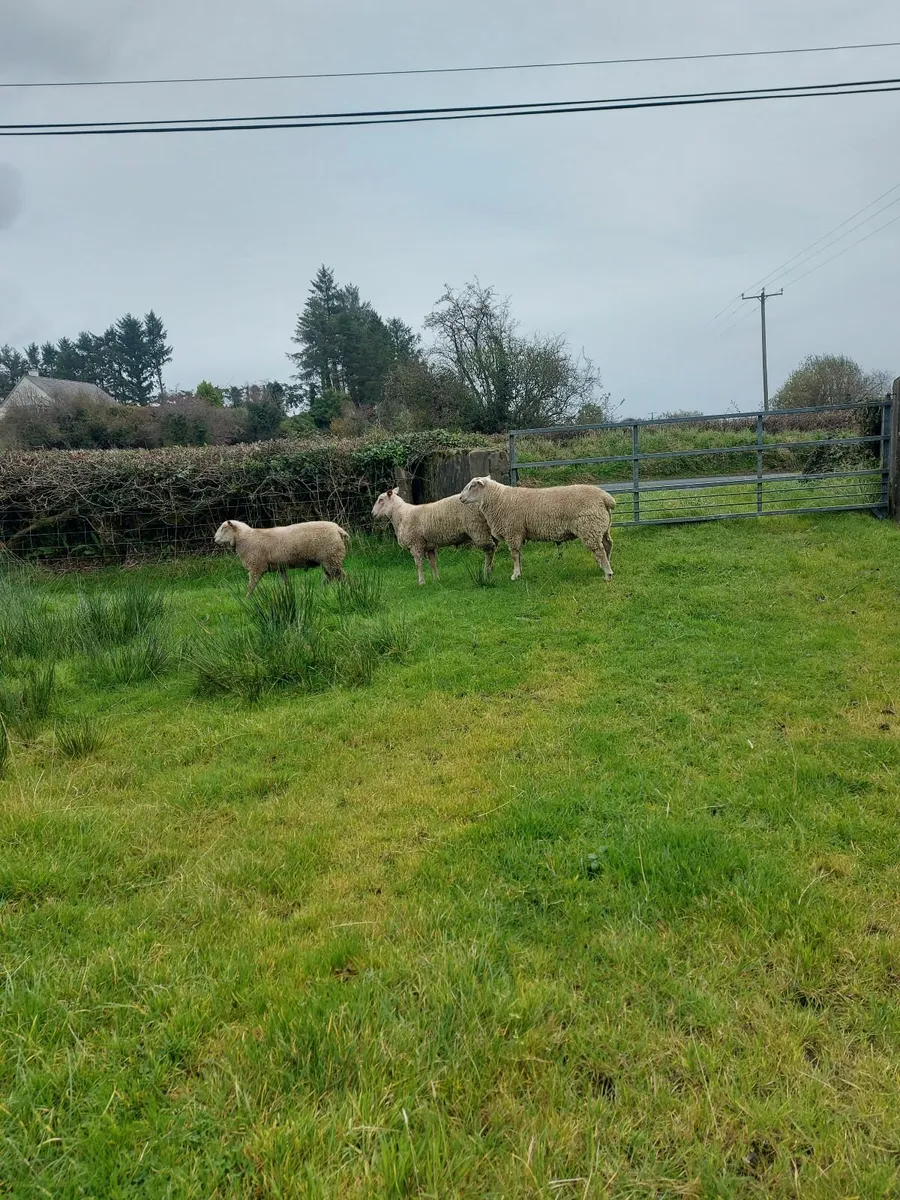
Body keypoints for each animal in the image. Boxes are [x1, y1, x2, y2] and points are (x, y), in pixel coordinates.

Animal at [213, 518, 350, 593]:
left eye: (224, 528)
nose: (214, 539)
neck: (246, 539)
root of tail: (338, 529)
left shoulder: (256, 567)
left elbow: (251, 586)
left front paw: (248, 599)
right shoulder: (280, 566)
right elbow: (285, 582)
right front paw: (288, 593)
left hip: (331, 557)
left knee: (341, 576)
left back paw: (344, 590)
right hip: (328, 559)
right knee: (330, 576)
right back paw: (321, 590)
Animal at [459, 476, 616, 581]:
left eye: (472, 486)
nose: (460, 498)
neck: (498, 499)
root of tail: (605, 498)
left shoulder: (513, 532)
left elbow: (514, 555)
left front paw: (515, 575)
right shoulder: (518, 534)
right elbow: (519, 555)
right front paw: (520, 573)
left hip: (589, 527)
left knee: (600, 550)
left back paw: (607, 574)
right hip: (602, 527)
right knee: (607, 545)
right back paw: (605, 566)